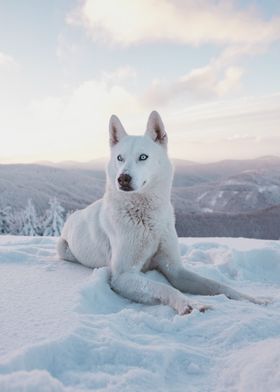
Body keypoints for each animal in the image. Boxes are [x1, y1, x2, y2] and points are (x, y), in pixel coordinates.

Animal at [57, 112, 264, 314]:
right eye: (119, 158)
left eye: (143, 157)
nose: (122, 178)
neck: (146, 217)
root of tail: (74, 215)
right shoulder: (123, 276)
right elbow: (164, 287)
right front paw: (189, 304)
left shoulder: (175, 270)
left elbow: (216, 285)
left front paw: (252, 299)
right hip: (64, 249)